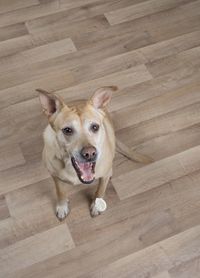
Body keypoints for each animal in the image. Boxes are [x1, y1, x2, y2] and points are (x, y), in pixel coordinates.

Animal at [37, 87, 152, 219]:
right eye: (67, 130)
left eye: (95, 127)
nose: (90, 153)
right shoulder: (55, 176)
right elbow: (60, 192)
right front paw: (62, 206)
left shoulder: (103, 178)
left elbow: (100, 191)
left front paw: (97, 206)